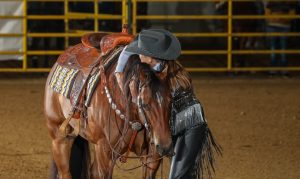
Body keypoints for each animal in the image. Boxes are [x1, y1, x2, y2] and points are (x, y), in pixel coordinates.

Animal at [43, 40, 172, 178]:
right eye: (144, 104)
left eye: (171, 101)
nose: (165, 147)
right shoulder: (105, 153)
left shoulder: (151, 158)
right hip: (60, 138)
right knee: (65, 172)